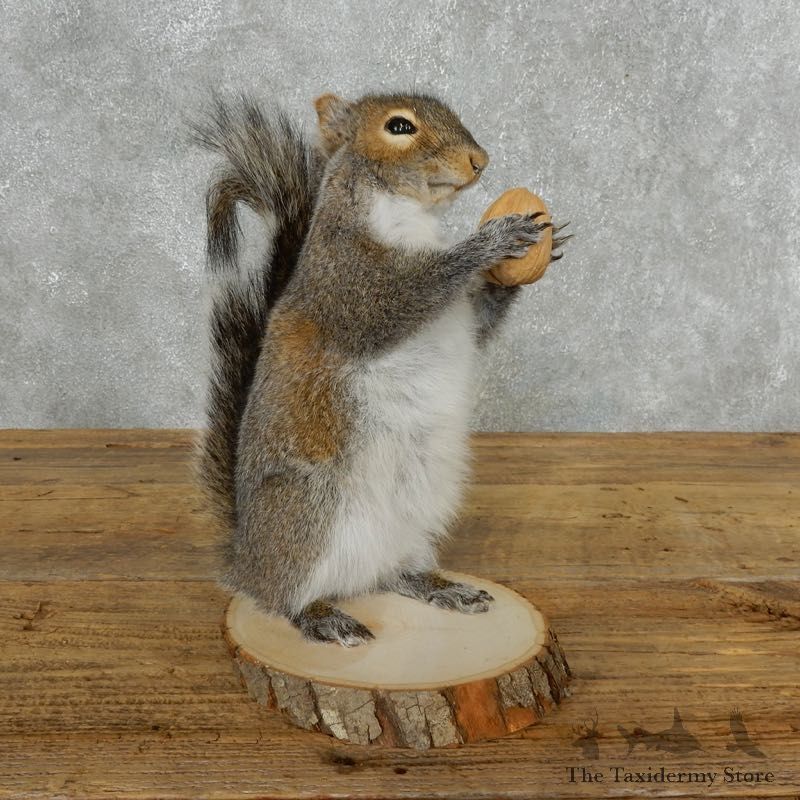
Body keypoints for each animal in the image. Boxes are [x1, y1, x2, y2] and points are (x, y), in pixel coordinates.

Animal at [193, 91, 565, 646]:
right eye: (399, 127)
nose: (480, 161)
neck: (408, 214)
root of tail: (246, 557)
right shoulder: (348, 282)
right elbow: (405, 296)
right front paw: (493, 241)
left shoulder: (458, 317)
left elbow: (479, 322)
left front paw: (530, 260)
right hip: (307, 514)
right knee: (282, 596)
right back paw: (321, 617)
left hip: (416, 520)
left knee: (393, 574)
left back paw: (439, 587)